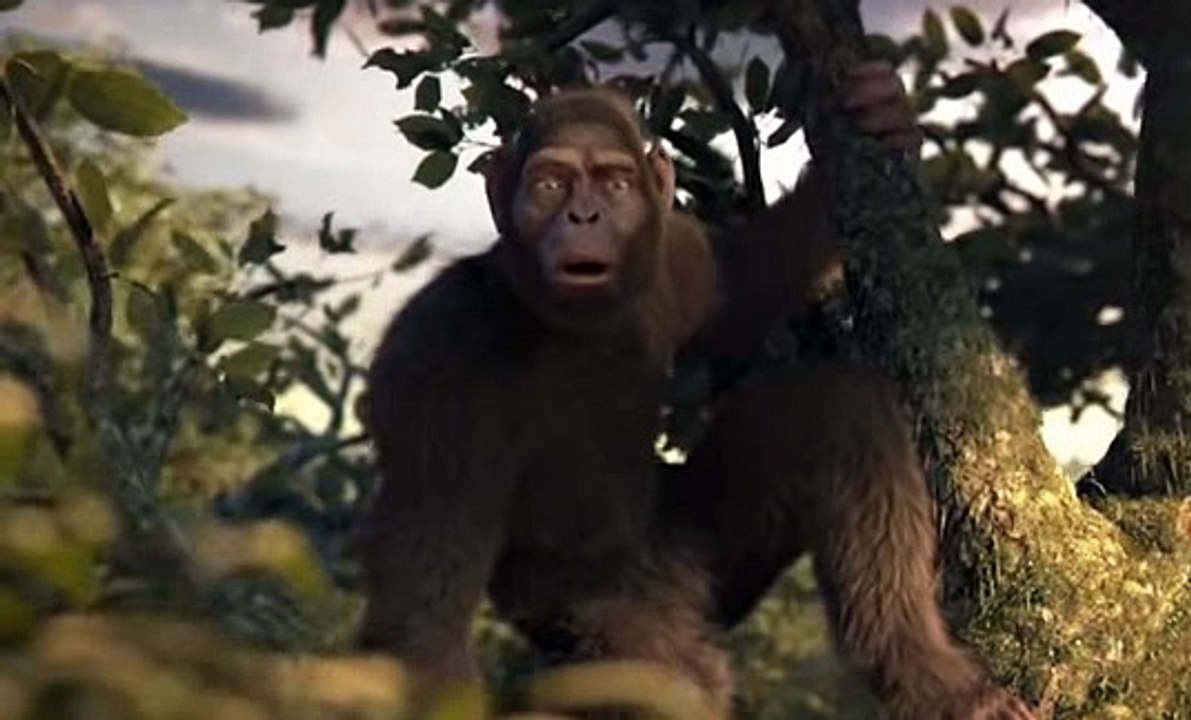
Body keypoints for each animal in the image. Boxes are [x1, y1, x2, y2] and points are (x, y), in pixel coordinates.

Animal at [358, 62, 1036, 720]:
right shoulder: (435, 361)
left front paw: (882, 111)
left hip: (701, 556)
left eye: (614, 184)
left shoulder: (673, 251)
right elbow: (422, 618)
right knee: (669, 677)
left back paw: (921, 671)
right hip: (605, 619)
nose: (583, 217)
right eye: (550, 185)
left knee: (836, 406)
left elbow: (740, 287)